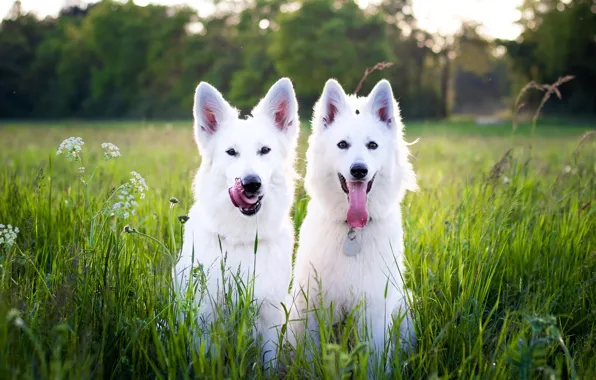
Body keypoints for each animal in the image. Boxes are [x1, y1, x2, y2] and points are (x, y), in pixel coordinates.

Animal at [175, 78, 300, 368]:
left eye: (264, 150)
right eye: (231, 152)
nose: (251, 183)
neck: (243, 240)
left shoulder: (269, 315)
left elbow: (268, 363)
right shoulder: (205, 317)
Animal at [292, 78, 416, 372]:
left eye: (372, 145)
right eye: (342, 145)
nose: (359, 170)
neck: (352, 231)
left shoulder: (375, 306)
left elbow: (373, 360)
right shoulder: (312, 305)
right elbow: (312, 356)